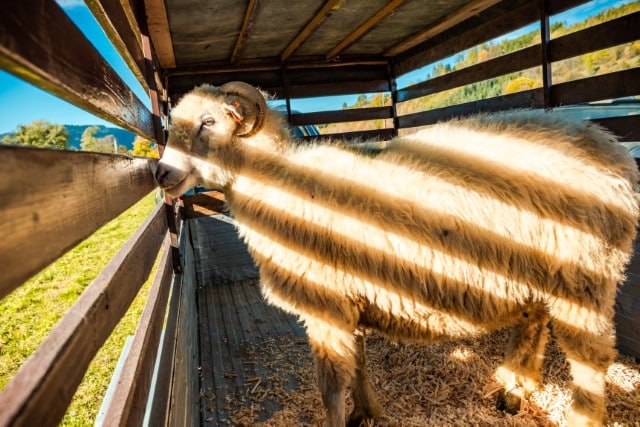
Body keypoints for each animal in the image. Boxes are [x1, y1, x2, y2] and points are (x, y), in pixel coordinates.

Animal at [155, 82, 640, 426]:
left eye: (208, 122)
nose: (161, 173)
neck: (278, 183)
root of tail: (612, 147)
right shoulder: (349, 301)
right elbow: (360, 366)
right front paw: (366, 413)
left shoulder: (326, 304)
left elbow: (331, 385)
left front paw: (344, 417)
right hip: (544, 273)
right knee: (534, 324)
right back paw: (514, 390)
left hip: (585, 275)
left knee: (591, 360)